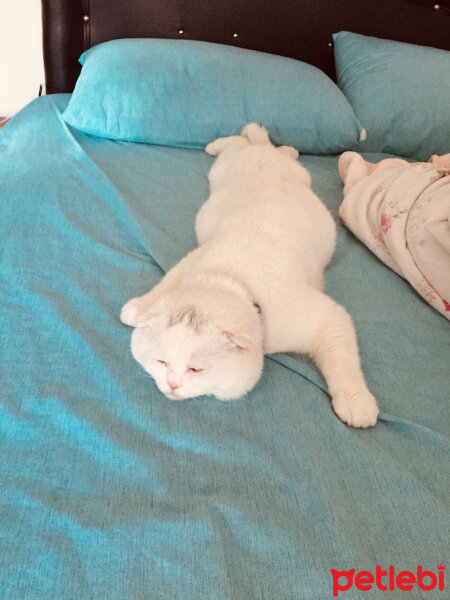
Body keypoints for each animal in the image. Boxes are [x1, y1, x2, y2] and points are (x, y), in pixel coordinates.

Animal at [120, 124, 380, 428]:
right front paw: (140, 307)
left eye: (196, 369)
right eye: (161, 362)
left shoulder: (326, 316)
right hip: (224, 167)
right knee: (240, 141)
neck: (233, 280)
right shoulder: (193, 258)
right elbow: (167, 281)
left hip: (292, 174)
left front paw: (356, 402)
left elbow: (343, 359)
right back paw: (227, 143)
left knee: (260, 144)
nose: (172, 384)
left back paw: (283, 148)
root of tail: (264, 152)